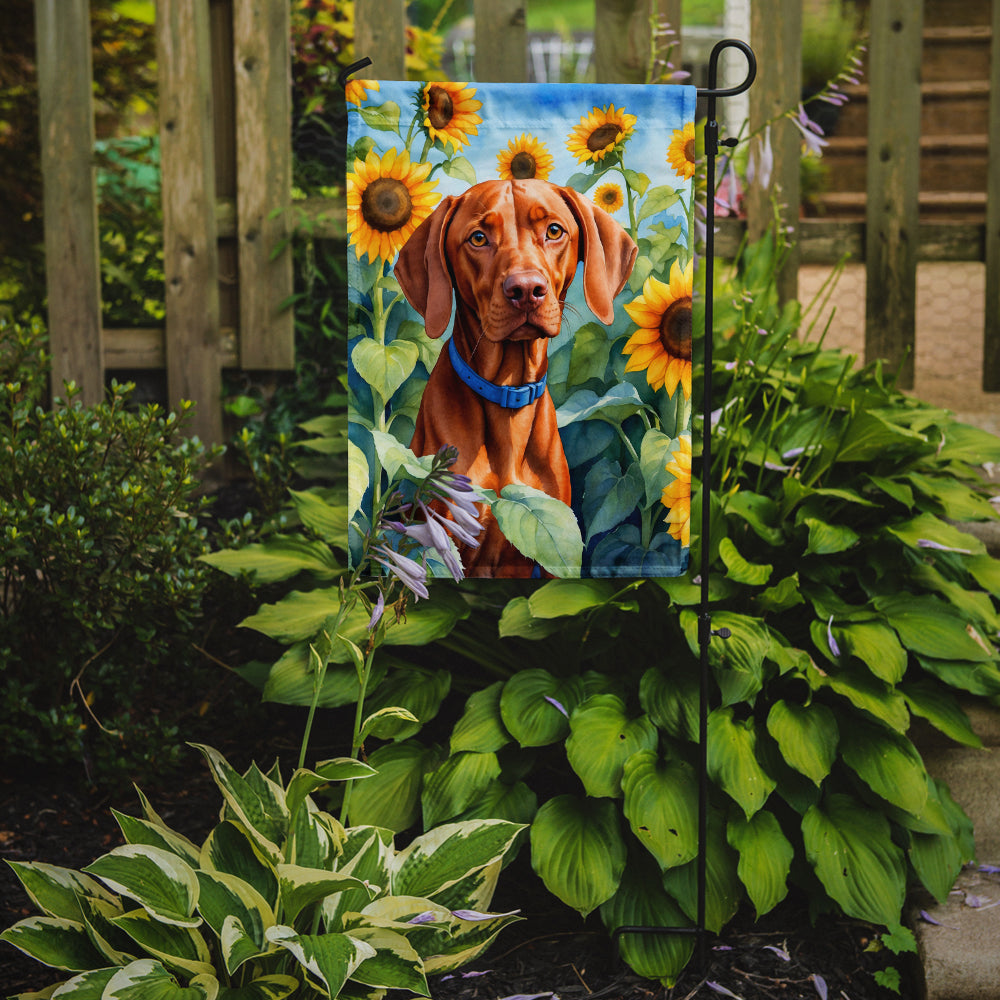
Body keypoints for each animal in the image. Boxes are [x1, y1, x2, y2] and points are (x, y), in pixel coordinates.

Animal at [394, 176, 636, 576]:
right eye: (478, 238)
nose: (525, 290)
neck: (509, 391)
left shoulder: (545, 549)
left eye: (554, 231)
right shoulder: (444, 541)